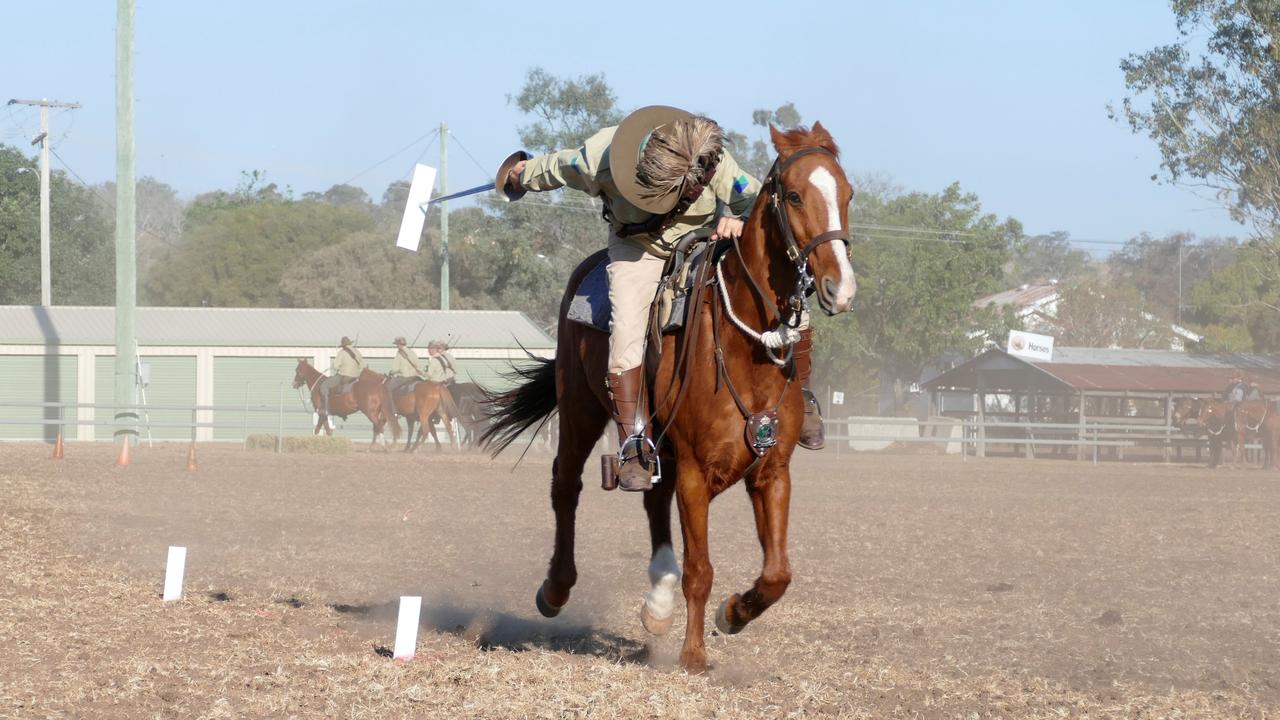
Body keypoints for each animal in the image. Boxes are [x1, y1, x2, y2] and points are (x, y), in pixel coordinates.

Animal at [483, 122, 855, 666]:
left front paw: (733, 614)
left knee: (651, 496)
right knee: (566, 485)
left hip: (655, 440)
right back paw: (555, 590)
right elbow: (701, 569)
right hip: (580, 410)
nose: (839, 288)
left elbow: (778, 574)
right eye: (792, 195)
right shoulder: (697, 475)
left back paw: (657, 602)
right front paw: (694, 656)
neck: (743, 348)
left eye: (847, 195)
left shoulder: (771, 473)